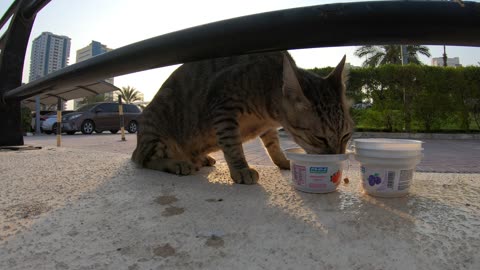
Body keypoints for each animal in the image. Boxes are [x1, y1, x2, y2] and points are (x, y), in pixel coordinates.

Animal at [131, 51, 352, 185]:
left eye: (346, 136)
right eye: (320, 138)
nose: (337, 158)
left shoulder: (267, 127)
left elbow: (273, 145)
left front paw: (282, 161)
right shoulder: (222, 106)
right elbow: (232, 145)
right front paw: (241, 169)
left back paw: (201, 158)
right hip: (156, 131)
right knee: (145, 159)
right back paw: (177, 163)